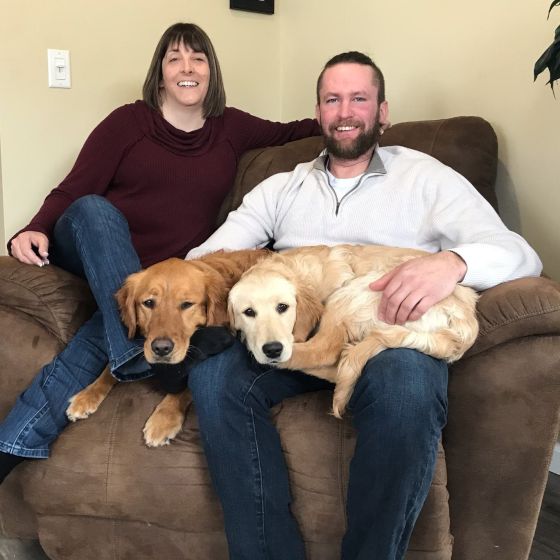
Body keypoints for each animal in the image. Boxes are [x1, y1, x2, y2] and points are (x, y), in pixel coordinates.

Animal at [66, 249, 268, 446]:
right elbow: (111, 368)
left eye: (187, 304)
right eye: (148, 303)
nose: (161, 349)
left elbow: (184, 388)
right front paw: (87, 395)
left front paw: (164, 417)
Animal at [228, 244, 479, 418]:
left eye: (283, 307)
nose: (272, 349)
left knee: (325, 352)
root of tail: (465, 324)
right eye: (248, 312)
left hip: (354, 291)